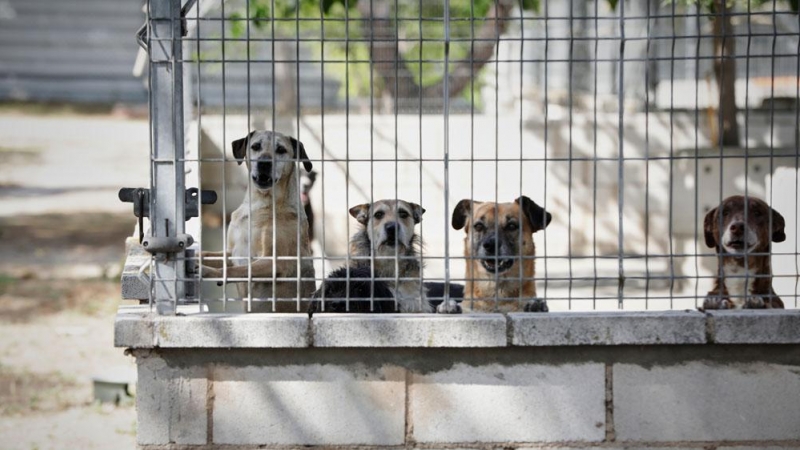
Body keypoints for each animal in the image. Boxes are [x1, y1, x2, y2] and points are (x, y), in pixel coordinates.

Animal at [202, 128, 318, 308]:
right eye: (256, 146)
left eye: (281, 150)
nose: (264, 163)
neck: (259, 204)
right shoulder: (231, 252)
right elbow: (207, 254)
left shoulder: (274, 262)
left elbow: (237, 270)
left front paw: (207, 271)